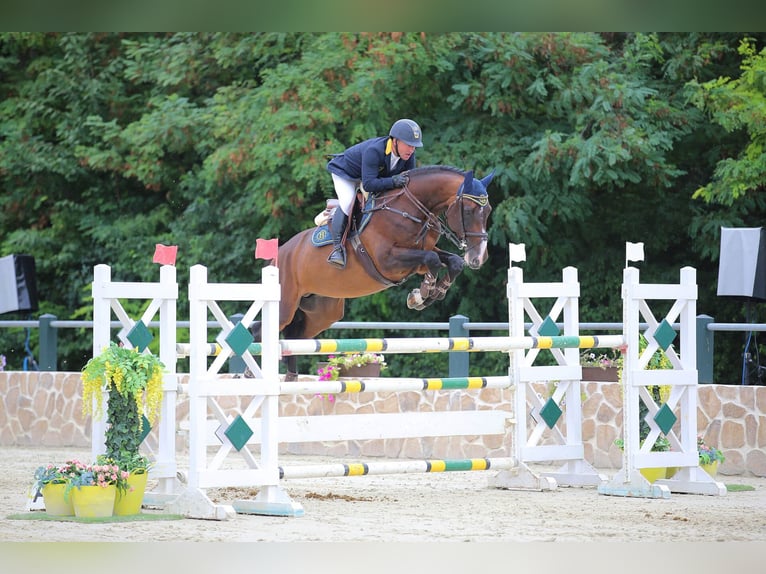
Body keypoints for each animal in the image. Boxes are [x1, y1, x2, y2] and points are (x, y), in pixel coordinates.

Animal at [260, 164, 496, 382]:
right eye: (468, 211)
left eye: (489, 211)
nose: (479, 257)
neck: (411, 210)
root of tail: (281, 253)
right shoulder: (388, 261)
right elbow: (432, 260)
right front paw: (421, 295)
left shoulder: (420, 255)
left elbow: (452, 262)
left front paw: (431, 294)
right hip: (286, 305)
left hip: (321, 314)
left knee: (292, 336)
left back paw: (290, 377)